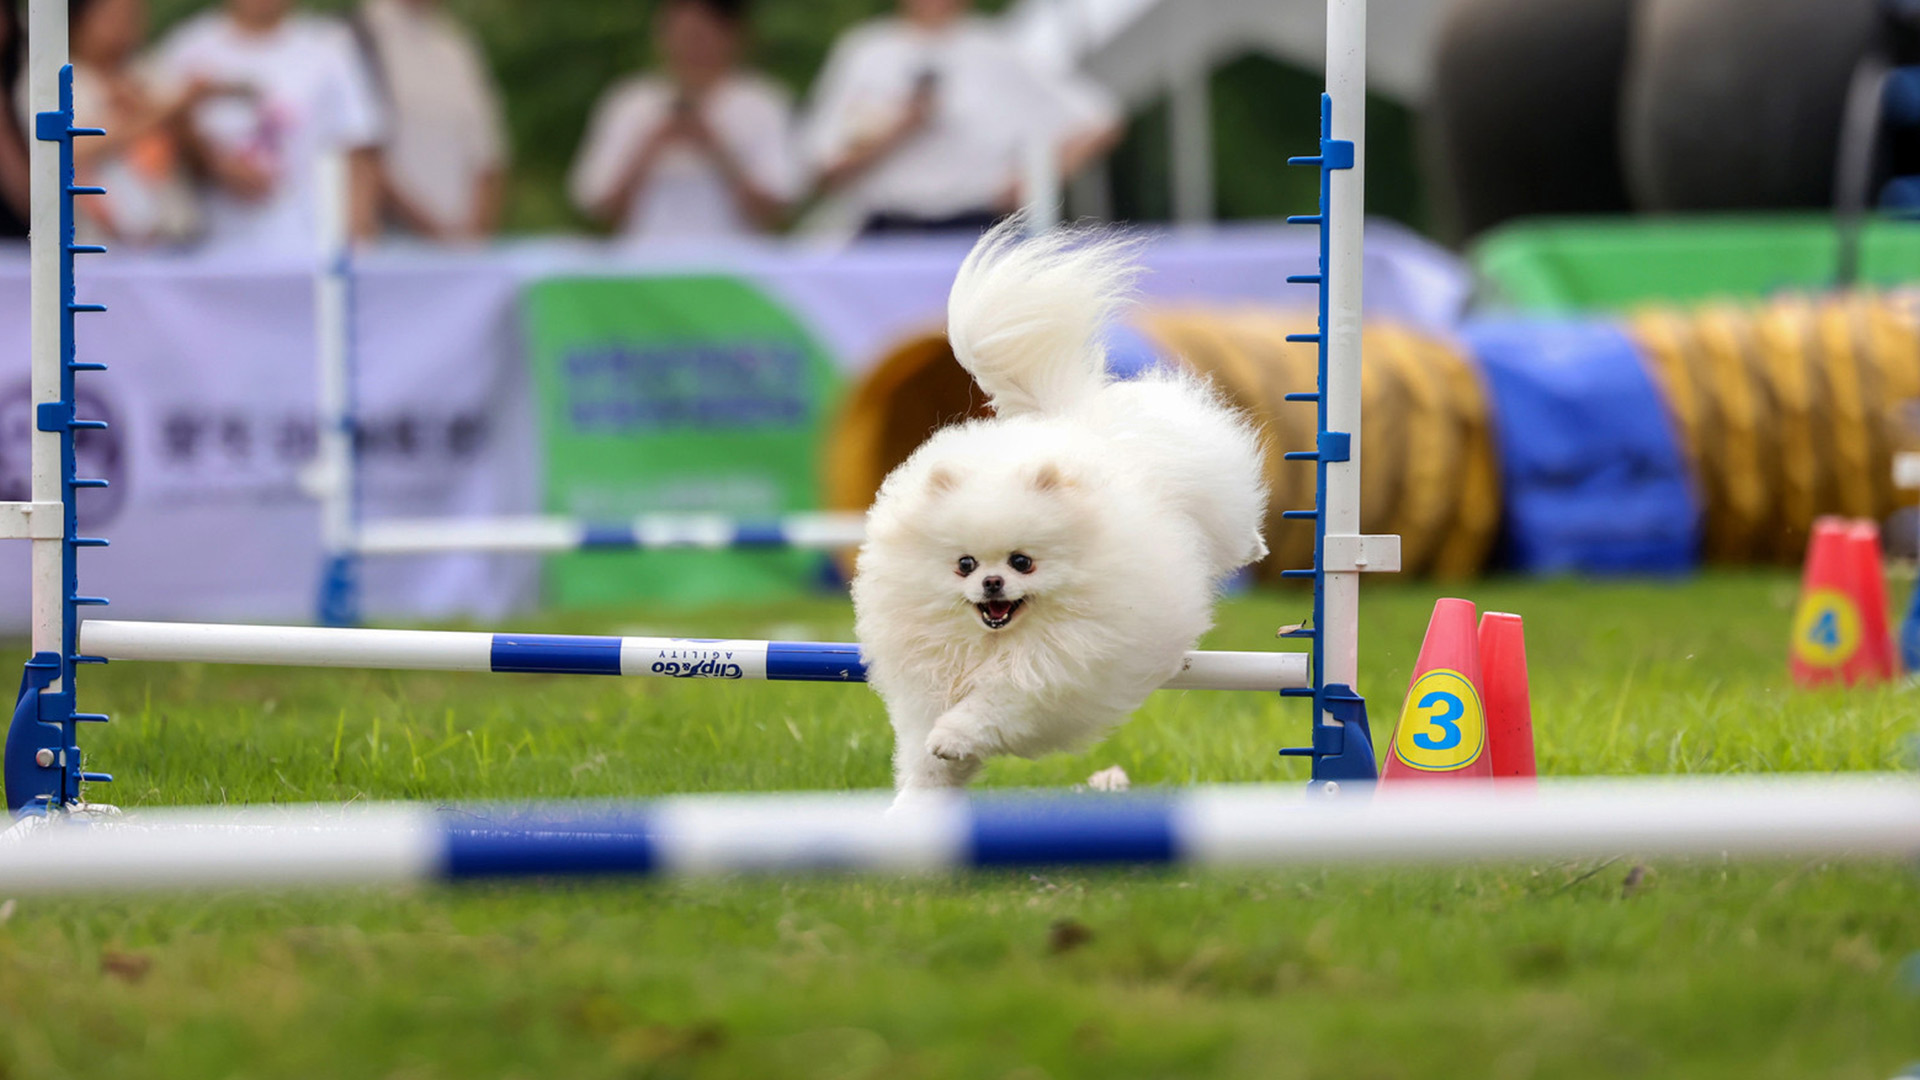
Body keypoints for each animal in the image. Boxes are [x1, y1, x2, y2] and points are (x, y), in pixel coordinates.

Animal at [848, 220, 1267, 791]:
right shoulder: (927, 682)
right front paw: (921, 788)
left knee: (1234, 530)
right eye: (964, 565)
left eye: (1022, 561)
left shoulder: (1051, 678)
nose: (992, 582)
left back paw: (1256, 545)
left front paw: (951, 736)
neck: (993, 642)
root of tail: (1071, 417)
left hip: (1215, 500)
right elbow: (924, 758)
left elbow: (993, 706)